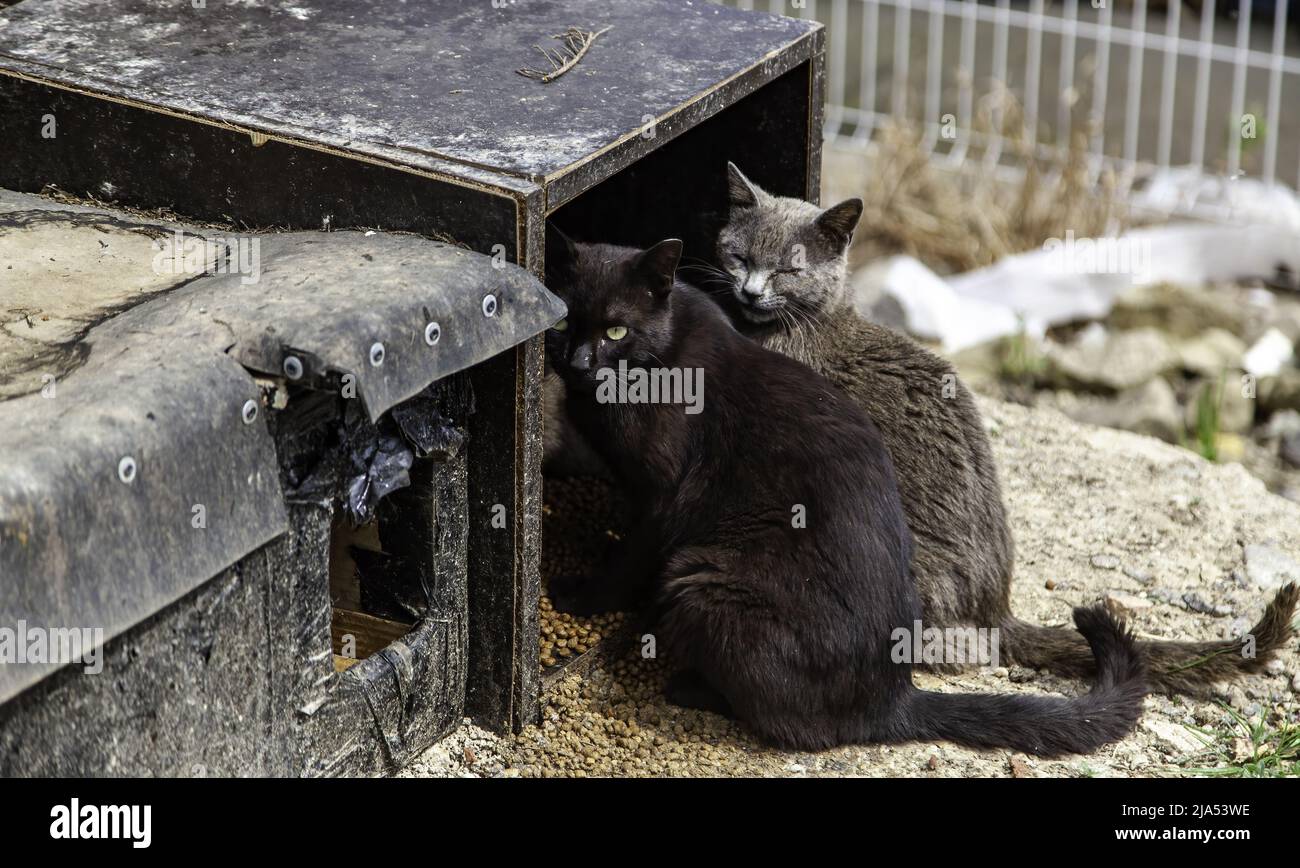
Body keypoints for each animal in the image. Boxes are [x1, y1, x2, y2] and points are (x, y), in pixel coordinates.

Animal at [543, 229, 1144, 753]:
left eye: (616, 332)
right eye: (565, 322)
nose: (579, 362)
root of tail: (893, 699)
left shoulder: (662, 498)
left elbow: (628, 564)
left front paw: (579, 598)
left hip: (701, 581)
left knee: (792, 723)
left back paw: (688, 687)